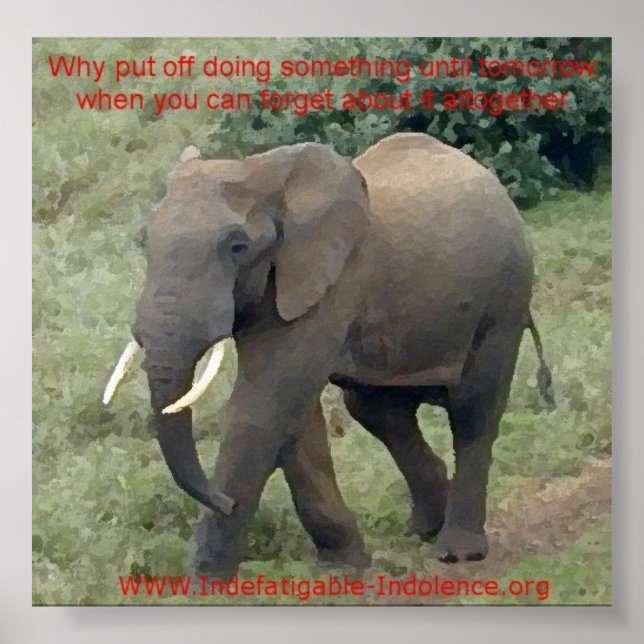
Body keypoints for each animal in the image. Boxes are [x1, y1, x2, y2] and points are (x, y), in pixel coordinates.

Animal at [103, 133, 554, 578]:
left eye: (238, 247)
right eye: (144, 241)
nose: (224, 501)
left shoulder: (331, 281)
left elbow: (264, 407)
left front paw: (202, 583)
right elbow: (294, 417)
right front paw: (345, 566)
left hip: (505, 296)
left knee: (473, 409)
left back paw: (459, 551)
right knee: (378, 410)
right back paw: (425, 528)